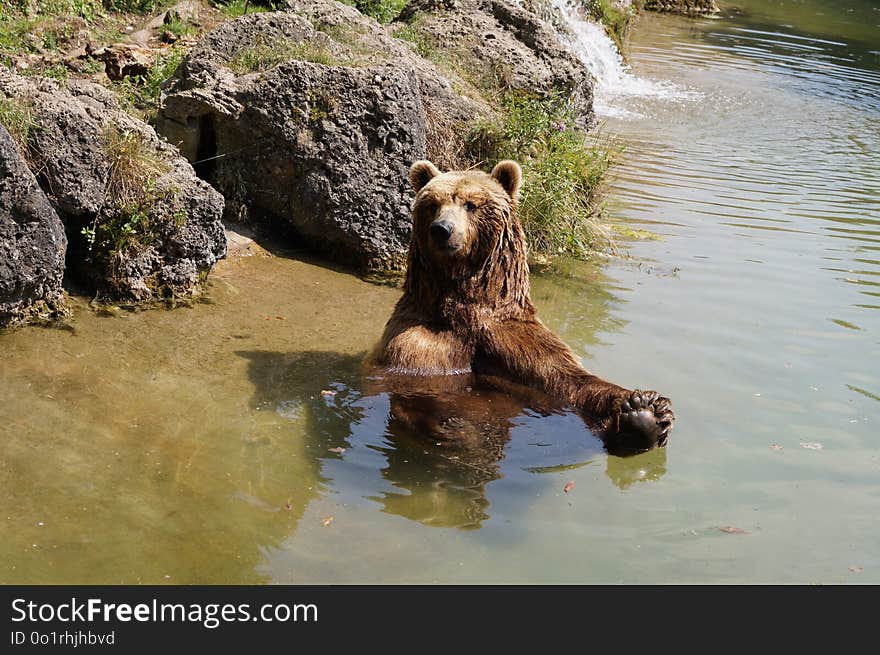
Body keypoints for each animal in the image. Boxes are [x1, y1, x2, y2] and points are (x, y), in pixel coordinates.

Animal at [370, 160, 672, 456]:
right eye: (433, 204)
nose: (442, 229)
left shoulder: (513, 339)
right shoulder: (421, 338)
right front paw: (453, 425)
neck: (468, 306)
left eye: (470, 204)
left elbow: (566, 380)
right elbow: (414, 383)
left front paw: (645, 407)